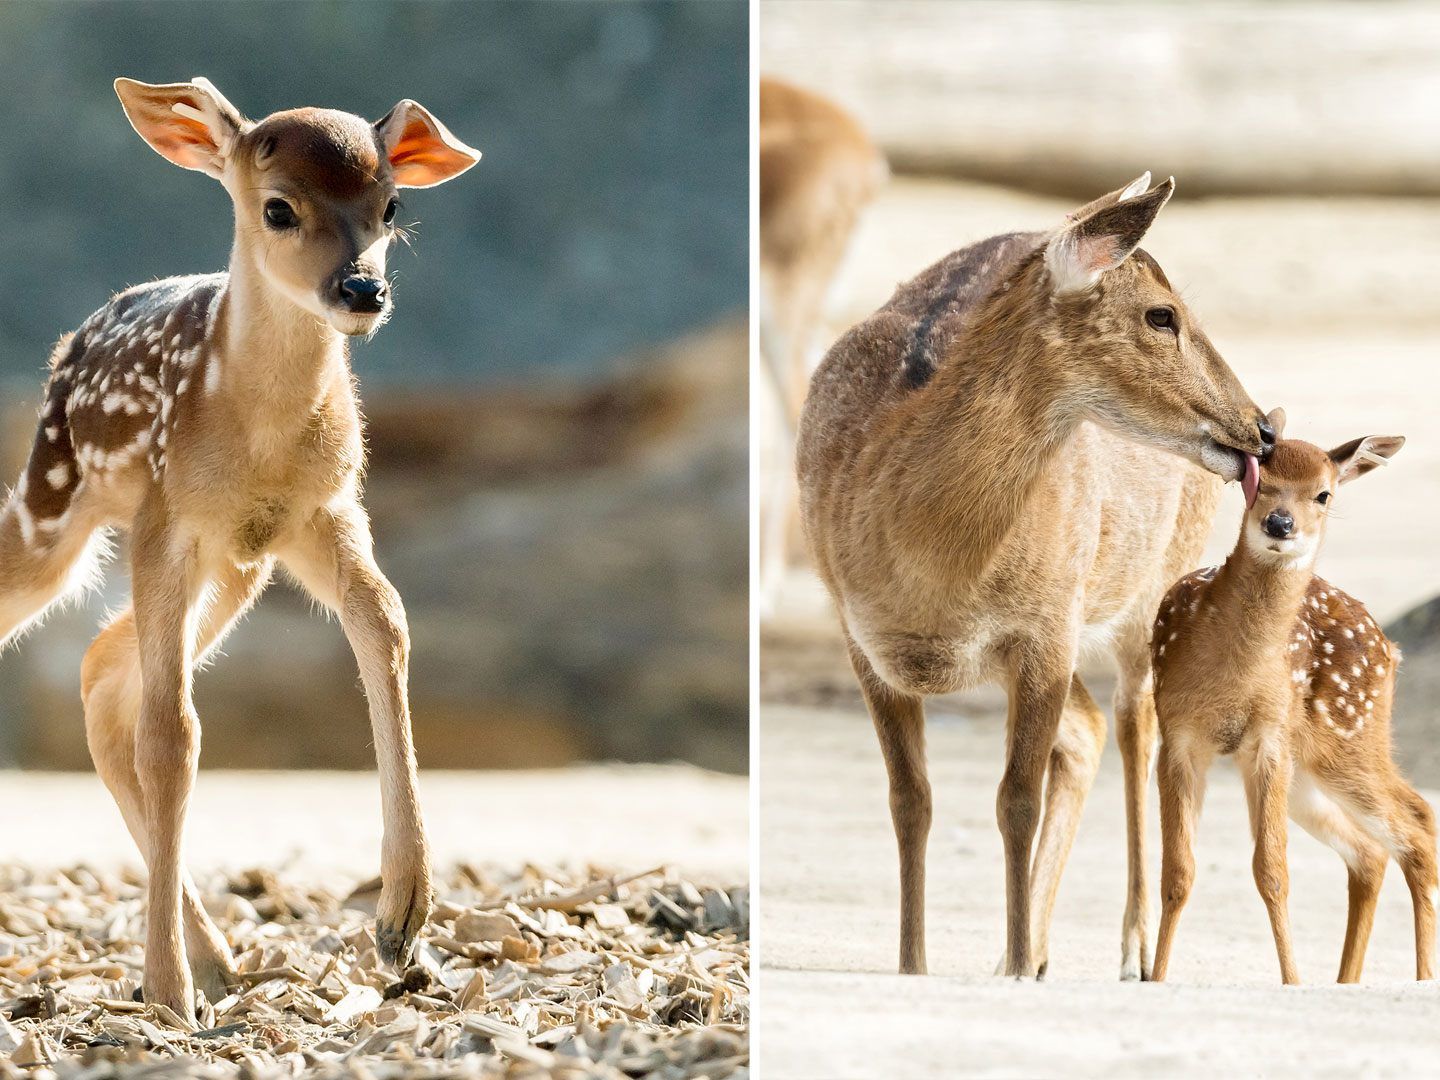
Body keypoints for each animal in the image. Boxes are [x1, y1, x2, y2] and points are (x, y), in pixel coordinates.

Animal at [0, 80, 480, 1025]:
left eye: (392, 206)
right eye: (278, 207)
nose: (362, 289)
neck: (257, 435)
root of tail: (72, 342)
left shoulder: (325, 514)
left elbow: (388, 626)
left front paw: (403, 918)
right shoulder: (168, 520)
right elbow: (173, 734)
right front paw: (165, 993)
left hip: (237, 570)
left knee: (99, 675)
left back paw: (222, 961)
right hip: (56, 501)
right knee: (106, 673)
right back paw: (199, 968)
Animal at [800, 171, 1272, 979]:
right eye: (1162, 315)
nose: (1263, 429)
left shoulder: (1047, 624)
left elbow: (1014, 797)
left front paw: (1019, 965)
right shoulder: (863, 640)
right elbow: (909, 800)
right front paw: (916, 962)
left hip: (1152, 591)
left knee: (1134, 724)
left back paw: (1130, 951)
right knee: (1088, 728)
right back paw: (1039, 950)